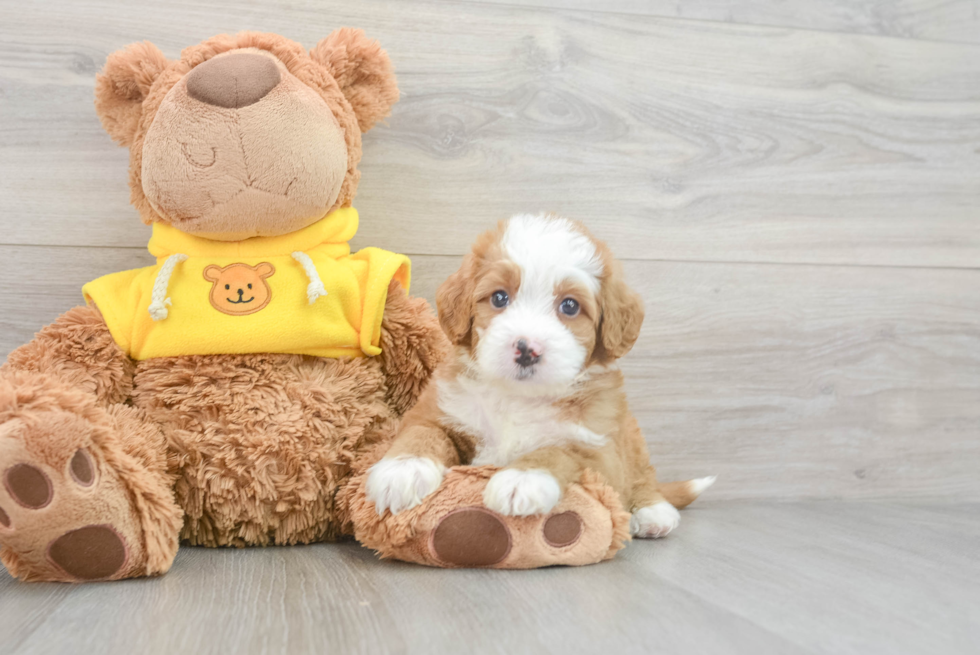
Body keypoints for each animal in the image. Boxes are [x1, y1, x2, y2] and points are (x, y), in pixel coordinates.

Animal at [368, 215, 712, 540]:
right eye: (499, 298)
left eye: (570, 306)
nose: (527, 349)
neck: (518, 397)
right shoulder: (438, 410)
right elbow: (424, 433)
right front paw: (402, 471)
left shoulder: (600, 452)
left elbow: (559, 450)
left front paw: (523, 478)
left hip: (630, 435)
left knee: (642, 474)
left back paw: (653, 512)